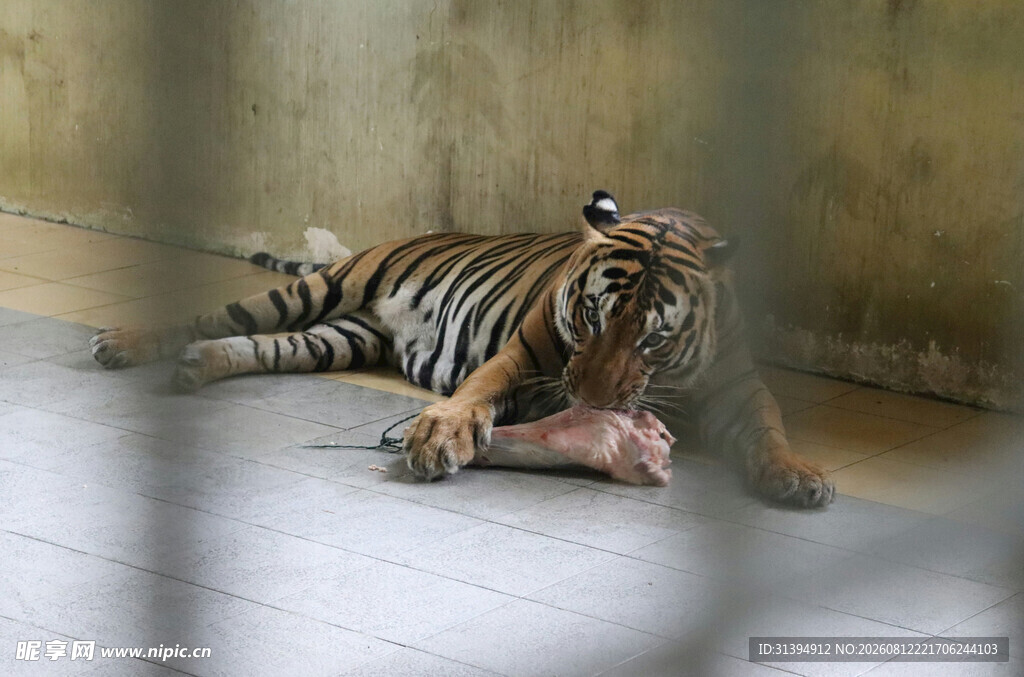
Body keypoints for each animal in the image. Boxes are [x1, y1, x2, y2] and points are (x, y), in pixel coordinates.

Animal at [90, 191, 834, 507]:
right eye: (591, 314)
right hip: (322, 288)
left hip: (339, 337)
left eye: (653, 335)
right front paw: (442, 433)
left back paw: (196, 365)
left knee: (260, 346)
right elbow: (477, 390)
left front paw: (799, 475)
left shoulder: (737, 385)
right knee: (212, 314)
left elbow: (769, 430)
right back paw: (123, 343)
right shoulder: (526, 354)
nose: (594, 404)